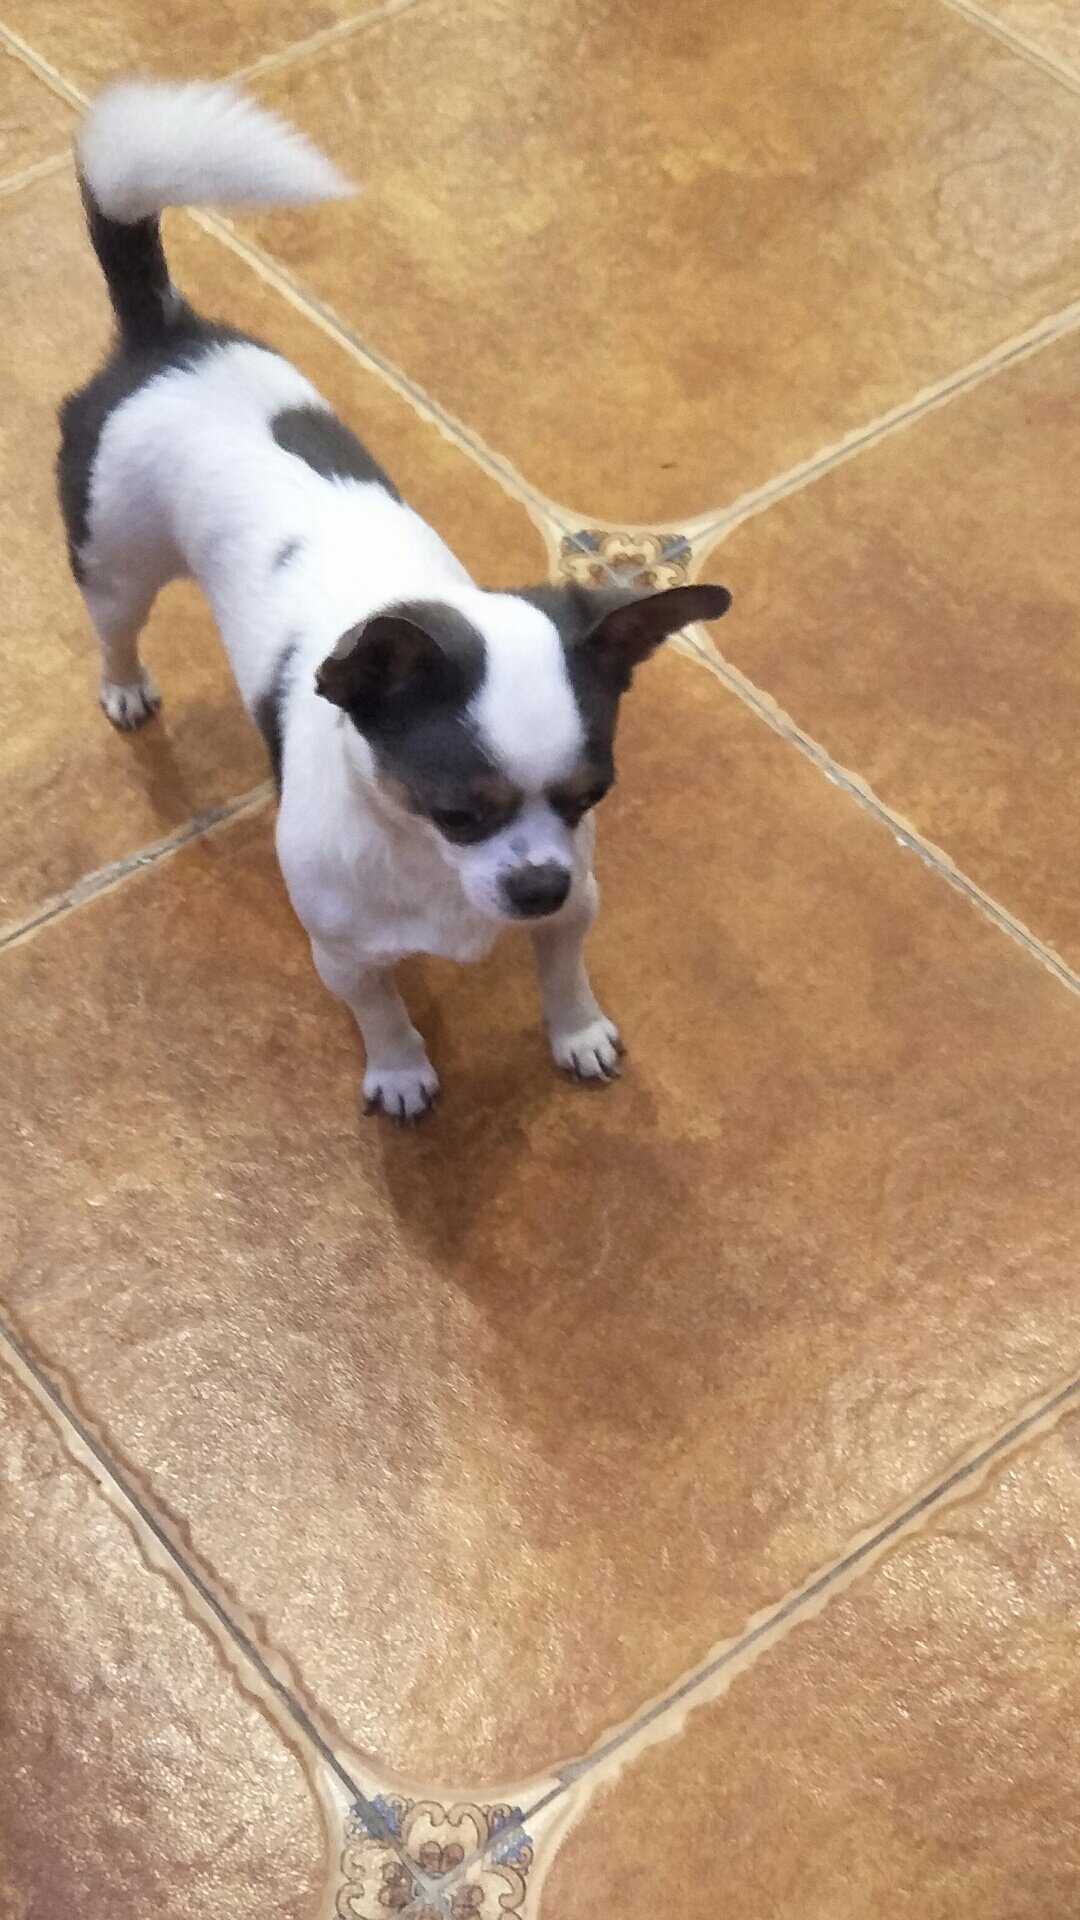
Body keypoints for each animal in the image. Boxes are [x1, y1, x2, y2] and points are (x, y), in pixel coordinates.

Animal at [58, 80, 732, 1121]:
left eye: (590, 798)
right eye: (458, 812)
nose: (537, 883)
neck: (424, 863)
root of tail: (166, 338)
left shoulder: (576, 907)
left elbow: (564, 971)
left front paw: (575, 1032)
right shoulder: (343, 954)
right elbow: (380, 1012)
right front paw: (403, 1071)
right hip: (115, 563)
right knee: (115, 630)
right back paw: (125, 686)